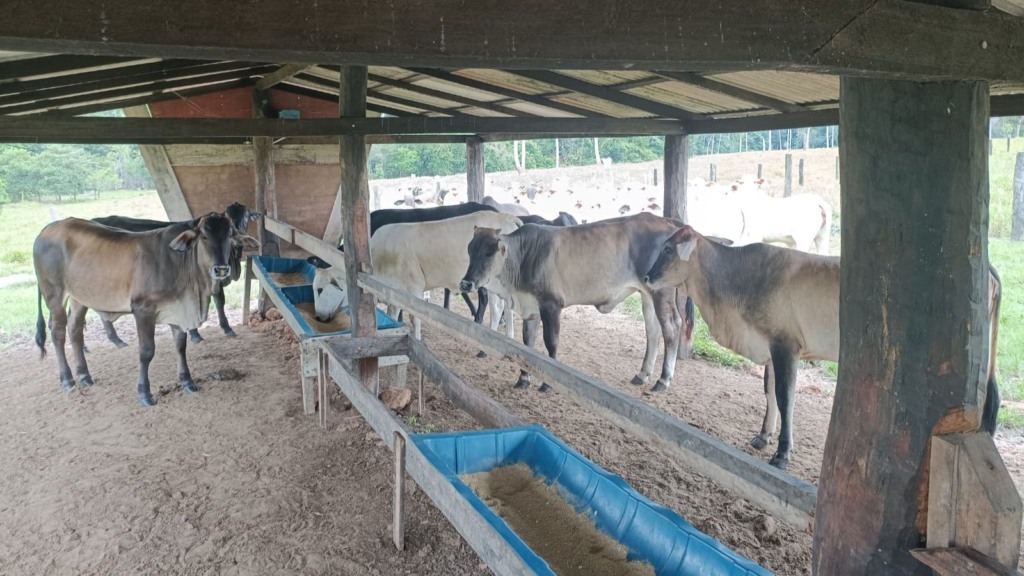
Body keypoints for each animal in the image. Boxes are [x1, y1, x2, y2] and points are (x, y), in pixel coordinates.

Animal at [643, 222, 1003, 469]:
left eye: (668, 249)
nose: (647, 277)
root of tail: (986, 267)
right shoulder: (770, 346)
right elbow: (769, 392)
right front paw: (763, 437)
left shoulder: (786, 345)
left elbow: (785, 397)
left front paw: (782, 453)